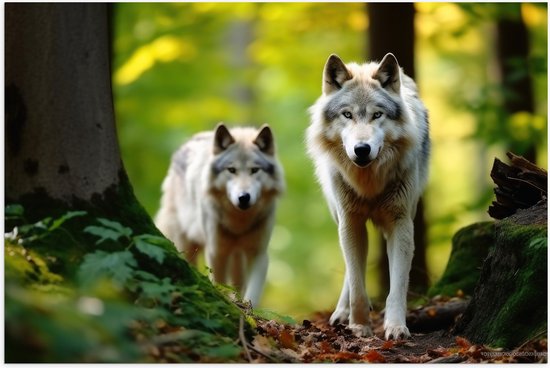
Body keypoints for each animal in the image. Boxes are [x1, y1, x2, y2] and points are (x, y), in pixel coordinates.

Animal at [154, 122, 284, 306]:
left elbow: (252, 292)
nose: (243, 197)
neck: (239, 223)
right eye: (231, 170)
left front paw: (248, 309)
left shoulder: (259, 254)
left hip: (237, 256)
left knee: (238, 282)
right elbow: (219, 284)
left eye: (254, 170)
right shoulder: (217, 253)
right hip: (186, 244)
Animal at [306, 52, 432, 340]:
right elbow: (357, 283)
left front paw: (396, 326)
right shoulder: (350, 222)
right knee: (351, 271)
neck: (369, 183)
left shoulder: (401, 224)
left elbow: (397, 286)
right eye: (347, 114)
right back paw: (341, 314)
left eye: (377, 115)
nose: (361, 149)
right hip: (340, 217)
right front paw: (358, 325)